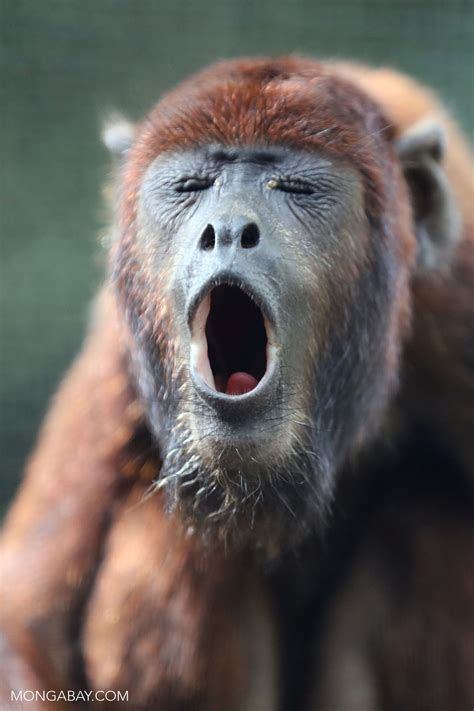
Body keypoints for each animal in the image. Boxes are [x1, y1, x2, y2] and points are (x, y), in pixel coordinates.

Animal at [0, 57, 472, 711]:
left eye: (295, 188)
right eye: (192, 185)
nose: (226, 229)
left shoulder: (458, 313)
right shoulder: (116, 355)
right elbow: (29, 624)